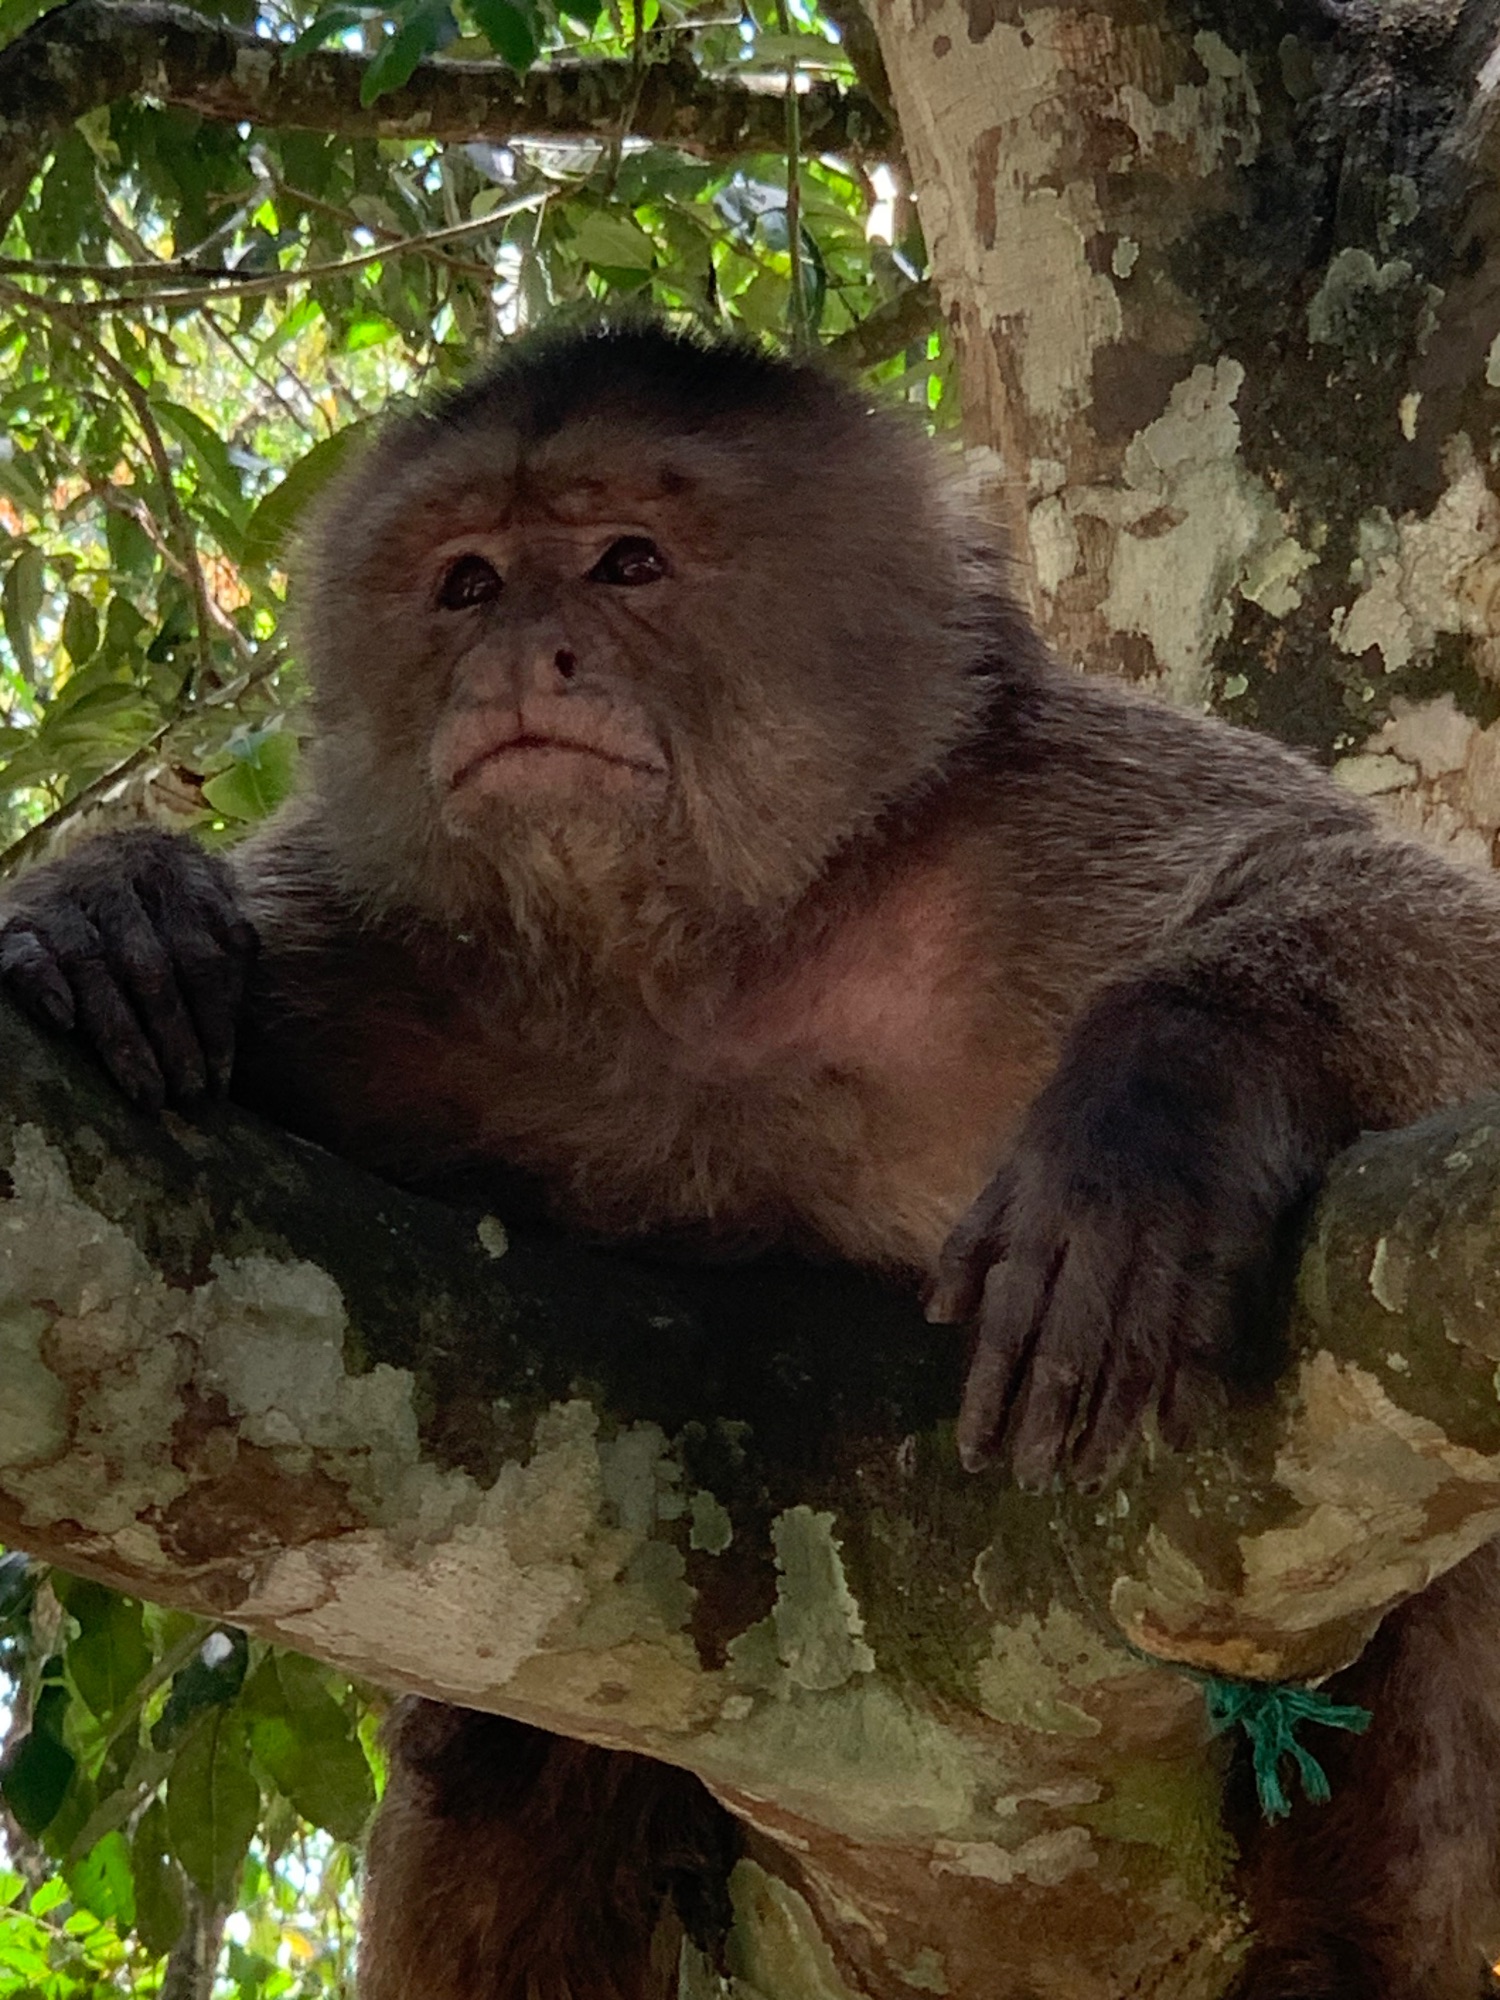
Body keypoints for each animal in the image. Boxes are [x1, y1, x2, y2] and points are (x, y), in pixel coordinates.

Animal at [6, 321, 1500, 1998]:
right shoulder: (383, 946)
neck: (714, 968)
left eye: (627, 563)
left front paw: (1167, 1097)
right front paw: (111, 909)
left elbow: (1421, 928)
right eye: (468, 585)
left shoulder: (1050, 818)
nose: (518, 660)